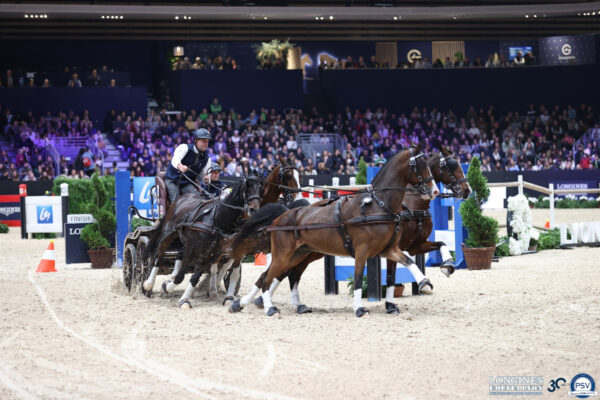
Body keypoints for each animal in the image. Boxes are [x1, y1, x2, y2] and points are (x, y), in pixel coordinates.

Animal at [229, 147, 468, 316]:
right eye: (450, 166)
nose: (466, 190)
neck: (381, 205)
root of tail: (283, 215)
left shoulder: (392, 248)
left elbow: (411, 261)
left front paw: (444, 268)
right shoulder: (366, 251)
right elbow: (363, 275)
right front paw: (360, 308)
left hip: (303, 253)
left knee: (285, 275)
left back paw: (257, 303)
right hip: (285, 254)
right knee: (269, 276)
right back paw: (263, 305)